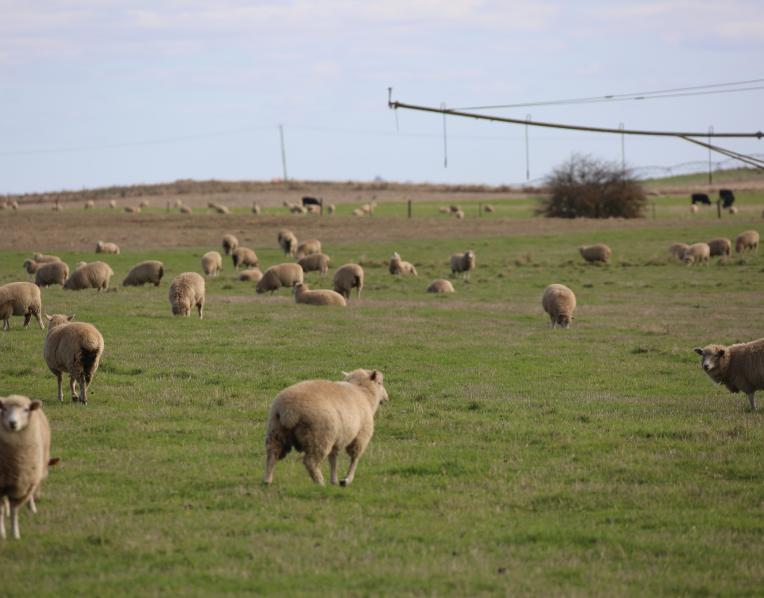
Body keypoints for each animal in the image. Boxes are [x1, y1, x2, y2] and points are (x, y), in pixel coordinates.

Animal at [0, 395, 55, 539]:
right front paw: (2, 533)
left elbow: (14, 510)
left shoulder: (24, 480)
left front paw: (15, 534)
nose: (13, 423)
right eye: (4, 409)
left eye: (26, 410)